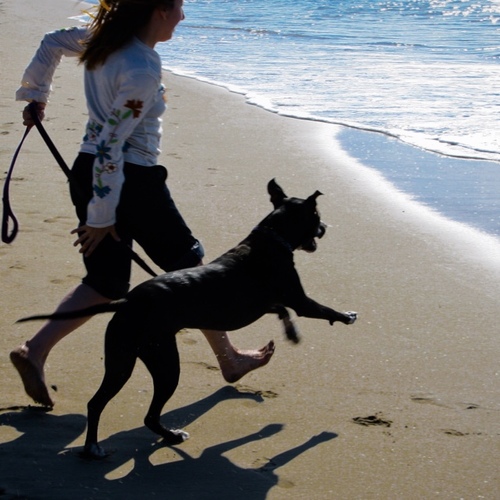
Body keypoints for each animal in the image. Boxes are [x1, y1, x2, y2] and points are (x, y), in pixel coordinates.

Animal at [19, 180, 356, 458]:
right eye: (316, 215)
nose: (325, 227)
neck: (272, 238)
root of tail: (129, 302)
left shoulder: (269, 303)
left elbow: (283, 311)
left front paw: (291, 333)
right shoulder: (299, 300)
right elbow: (323, 309)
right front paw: (346, 315)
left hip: (128, 357)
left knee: (121, 407)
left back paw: (162, 437)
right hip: (160, 365)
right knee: (111, 405)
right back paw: (96, 447)